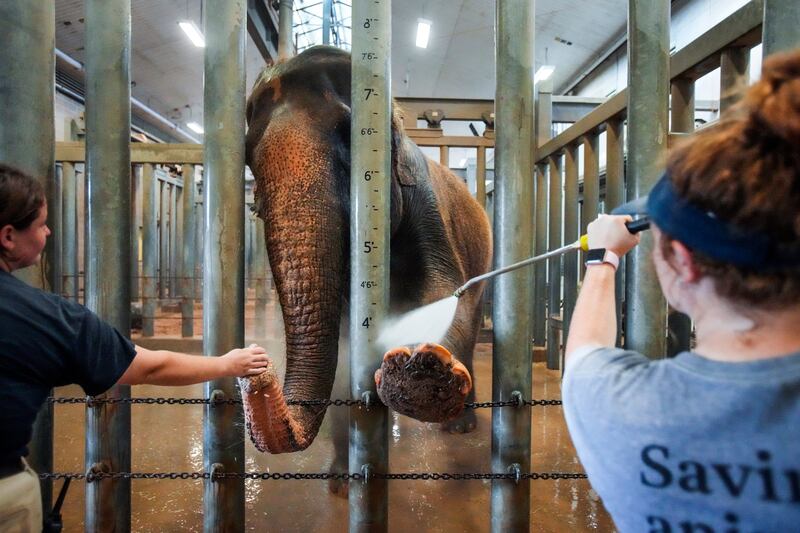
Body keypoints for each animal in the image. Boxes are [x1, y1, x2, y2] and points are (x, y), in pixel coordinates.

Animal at [238, 45, 490, 454]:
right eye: (246, 156)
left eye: (349, 135)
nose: (258, 371)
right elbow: (343, 328)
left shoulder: (426, 207)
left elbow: (442, 289)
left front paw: (421, 372)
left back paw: (460, 426)